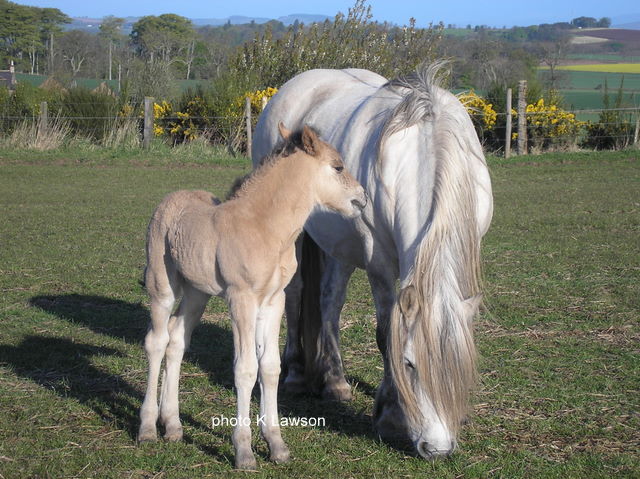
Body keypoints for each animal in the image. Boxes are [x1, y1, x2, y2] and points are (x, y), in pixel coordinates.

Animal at [137, 123, 367, 470]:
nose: (362, 197)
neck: (266, 229)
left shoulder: (273, 301)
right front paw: (244, 451)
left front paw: (276, 444)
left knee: (176, 340)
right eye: (338, 166)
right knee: (156, 341)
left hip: (197, 293)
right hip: (162, 285)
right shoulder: (241, 299)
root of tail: (172, 198)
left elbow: (270, 367)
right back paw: (149, 428)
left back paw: (174, 426)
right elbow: (245, 368)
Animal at [252, 64, 493, 459]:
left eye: (460, 365)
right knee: (296, 294)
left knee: (330, 300)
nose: (437, 449)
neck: (424, 150)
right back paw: (298, 373)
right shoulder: (378, 262)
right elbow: (385, 334)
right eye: (409, 363)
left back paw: (334, 381)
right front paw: (391, 414)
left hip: (341, 243)